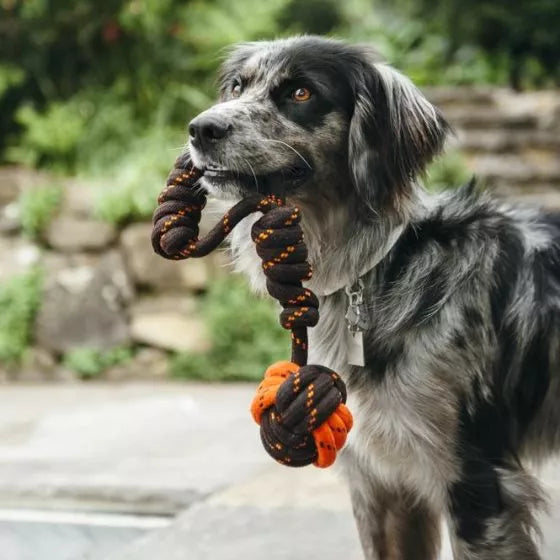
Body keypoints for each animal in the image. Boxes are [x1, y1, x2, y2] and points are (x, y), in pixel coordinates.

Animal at [186, 36, 556, 560]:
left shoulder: (477, 482)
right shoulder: (382, 484)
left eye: (301, 92)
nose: (201, 128)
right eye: (237, 87)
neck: (382, 269)